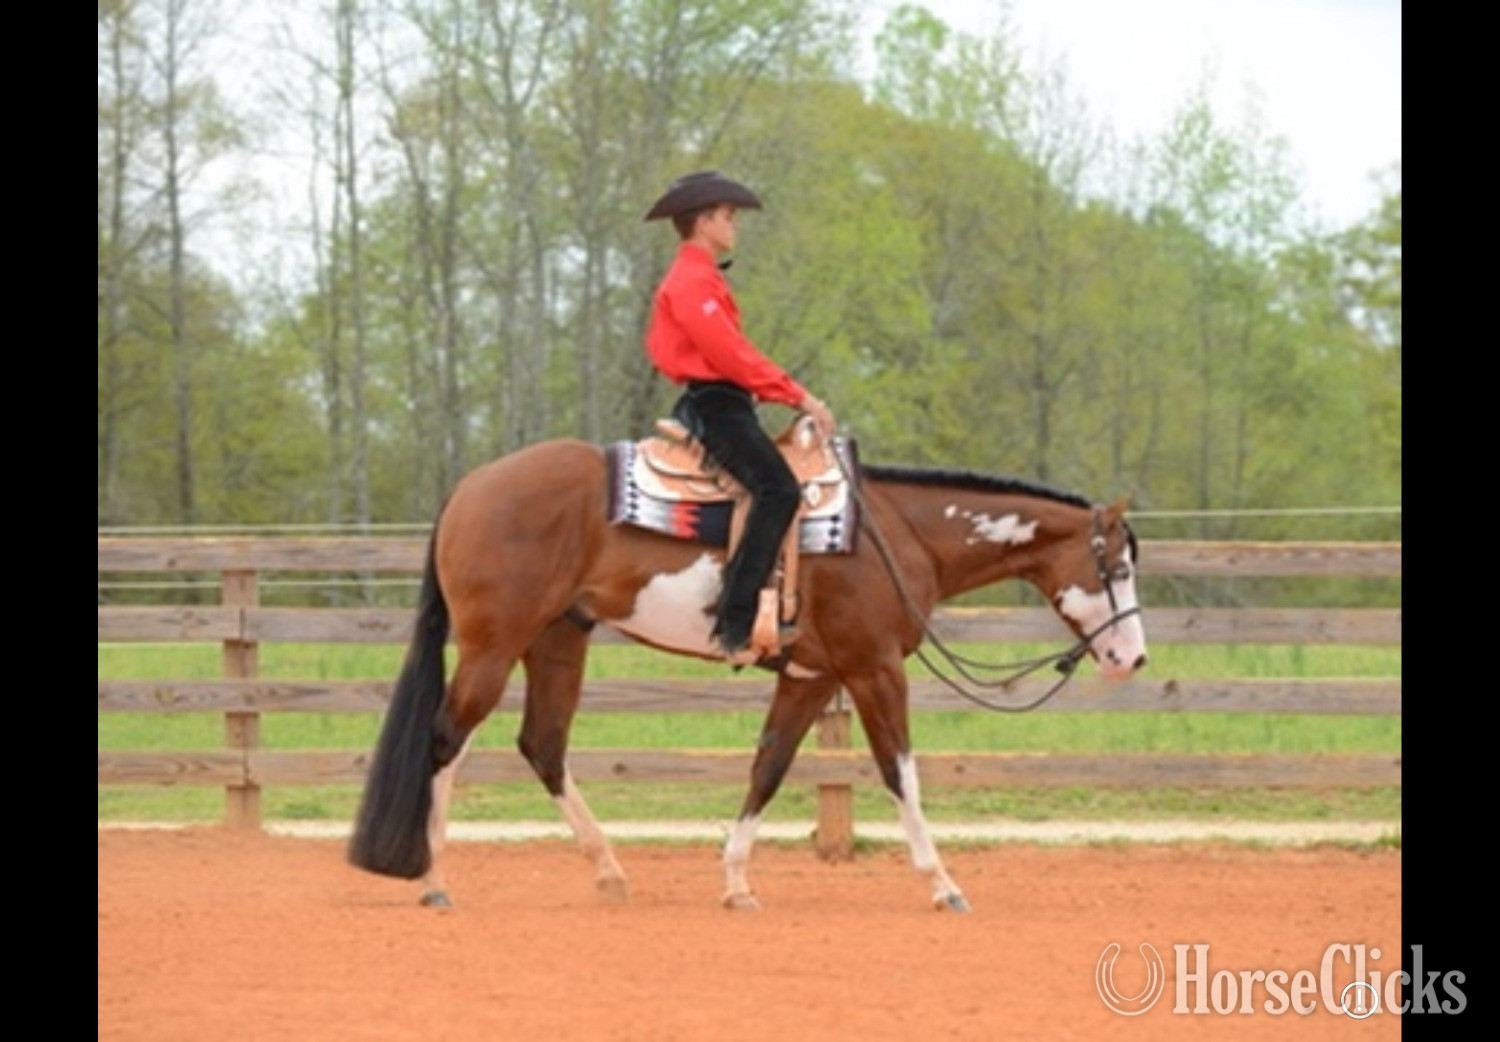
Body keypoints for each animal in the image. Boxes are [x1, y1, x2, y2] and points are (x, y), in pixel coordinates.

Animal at [347, 432, 1147, 912]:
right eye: (1117, 567)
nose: (1131, 658)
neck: (895, 533)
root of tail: (468, 488)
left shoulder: (811, 678)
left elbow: (769, 766)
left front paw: (735, 881)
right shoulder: (873, 670)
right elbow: (900, 772)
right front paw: (943, 882)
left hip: (556, 642)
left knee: (541, 745)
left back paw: (609, 871)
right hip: (494, 643)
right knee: (445, 739)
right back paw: (433, 878)